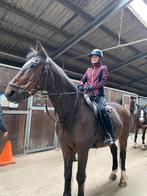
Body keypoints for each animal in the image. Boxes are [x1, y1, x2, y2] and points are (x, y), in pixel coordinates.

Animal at [5, 41, 130, 196]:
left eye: (33, 65)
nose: (10, 92)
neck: (73, 112)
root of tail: (122, 109)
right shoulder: (66, 148)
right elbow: (67, 174)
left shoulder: (82, 149)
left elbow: (80, 176)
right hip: (112, 138)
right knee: (114, 152)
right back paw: (113, 174)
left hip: (123, 137)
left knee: (122, 155)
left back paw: (123, 180)